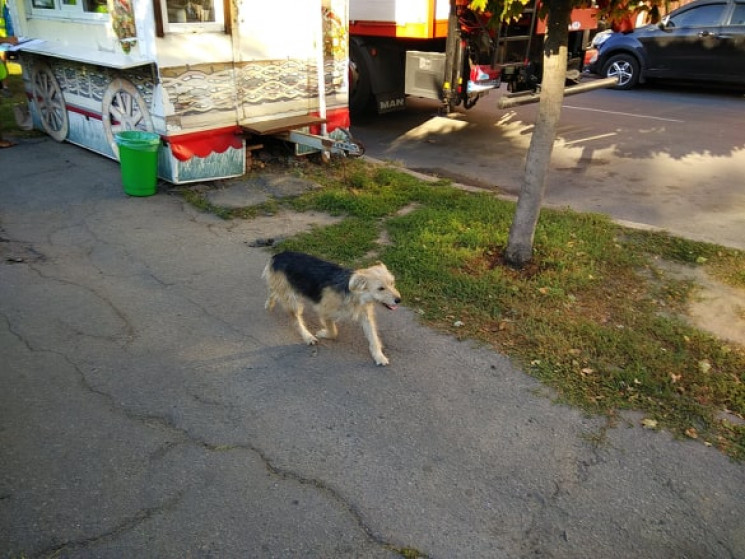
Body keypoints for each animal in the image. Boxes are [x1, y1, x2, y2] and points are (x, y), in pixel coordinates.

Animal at [262, 253, 402, 368]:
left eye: (392, 283)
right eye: (380, 288)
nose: (399, 300)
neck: (354, 293)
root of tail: (277, 256)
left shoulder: (366, 316)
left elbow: (373, 337)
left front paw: (379, 356)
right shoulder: (324, 310)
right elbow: (334, 331)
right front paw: (324, 333)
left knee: (273, 291)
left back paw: (269, 303)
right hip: (292, 300)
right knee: (296, 319)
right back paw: (308, 336)